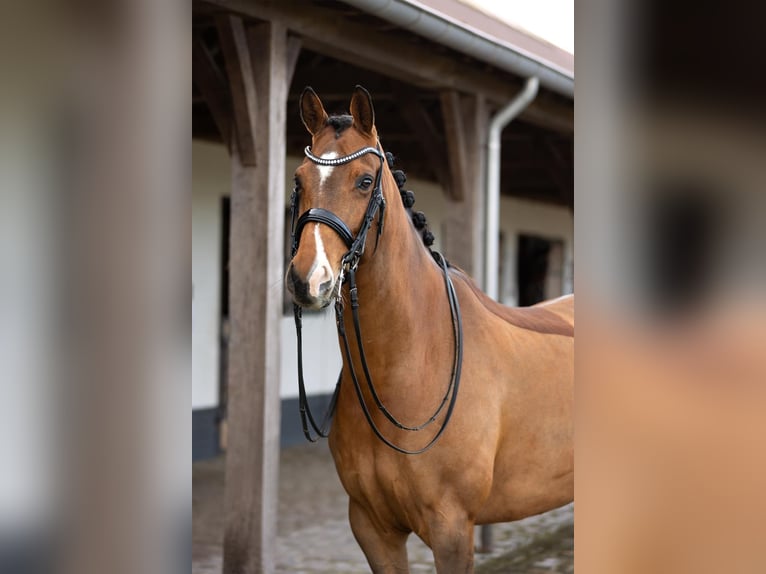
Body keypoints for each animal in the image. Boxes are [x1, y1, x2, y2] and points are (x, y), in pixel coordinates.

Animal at [285, 85, 574, 573]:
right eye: (300, 180)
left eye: (365, 181)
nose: (310, 279)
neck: (415, 360)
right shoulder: (373, 529)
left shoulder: (452, 529)